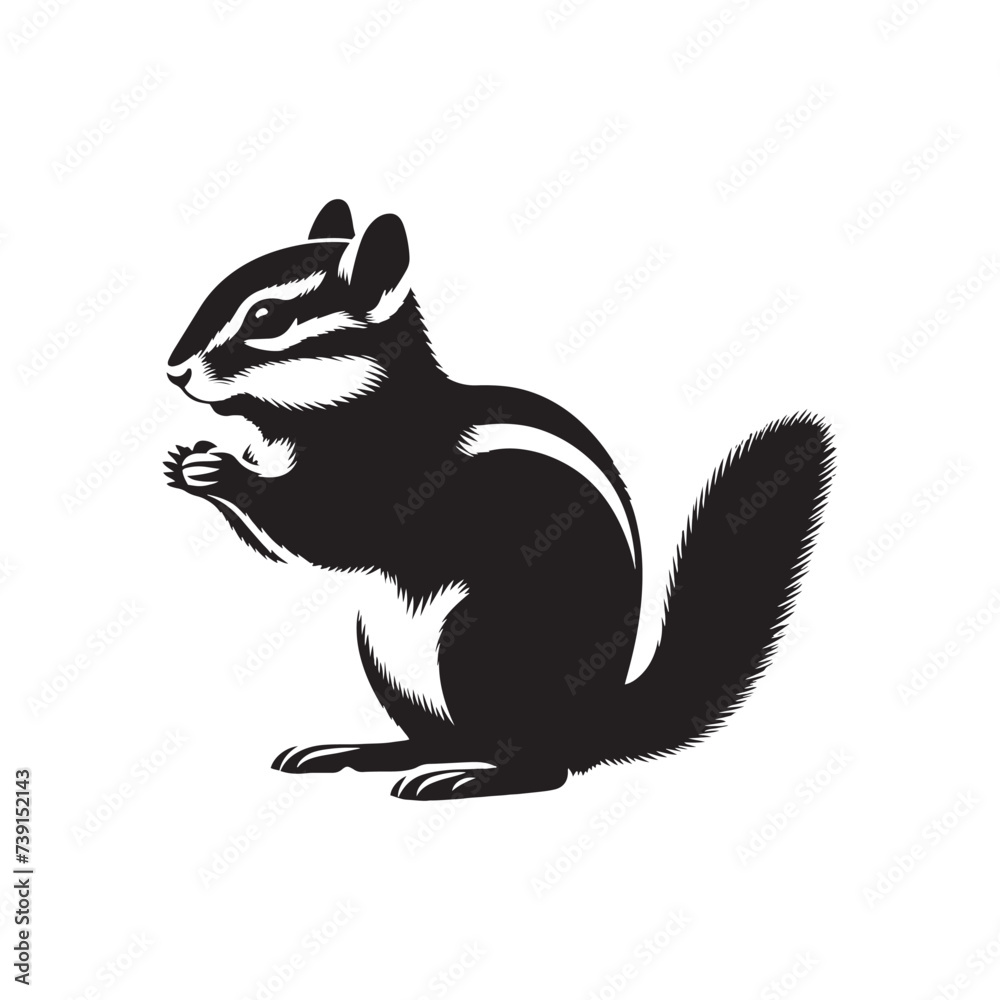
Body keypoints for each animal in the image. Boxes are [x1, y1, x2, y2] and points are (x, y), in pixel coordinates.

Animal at [165, 199, 834, 800]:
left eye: (267, 317)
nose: (175, 370)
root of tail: (592, 722)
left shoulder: (399, 481)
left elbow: (327, 531)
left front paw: (220, 470)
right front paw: (190, 462)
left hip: (487, 640)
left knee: (541, 765)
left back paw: (467, 777)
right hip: (382, 648)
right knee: (441, 737)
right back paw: (364, 752)